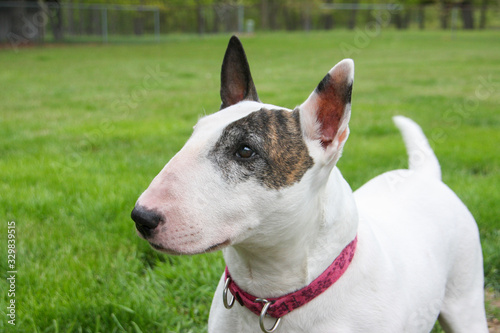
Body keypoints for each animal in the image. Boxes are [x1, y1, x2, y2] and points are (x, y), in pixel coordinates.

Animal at [130, 36, 488, 332]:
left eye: (245, 150)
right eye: (192, 136)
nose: (141, 217)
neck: (272, 297)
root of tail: (423, 174)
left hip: (466, 300)